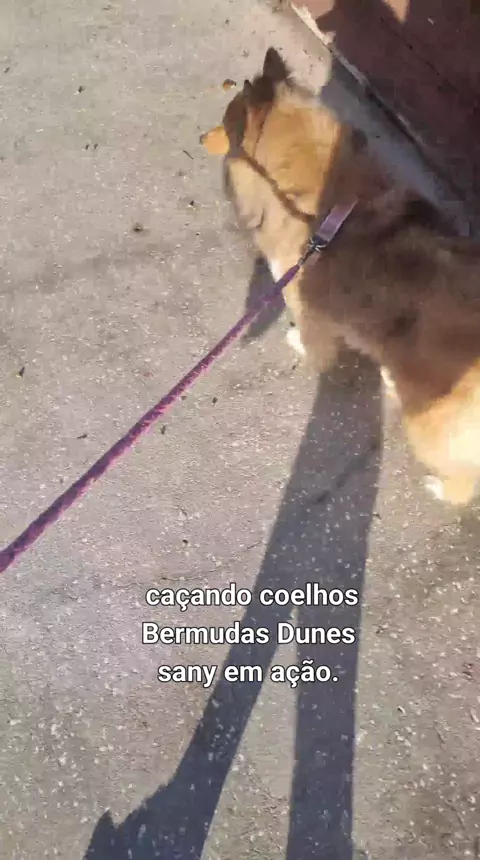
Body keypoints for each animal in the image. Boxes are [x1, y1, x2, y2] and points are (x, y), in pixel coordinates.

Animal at [201, 47, 480, 505]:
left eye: (226, 122)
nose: (199, 139)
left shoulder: (302, 298)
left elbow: (314, 339)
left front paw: (300, 345)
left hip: (430, 427)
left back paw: (440, 487)